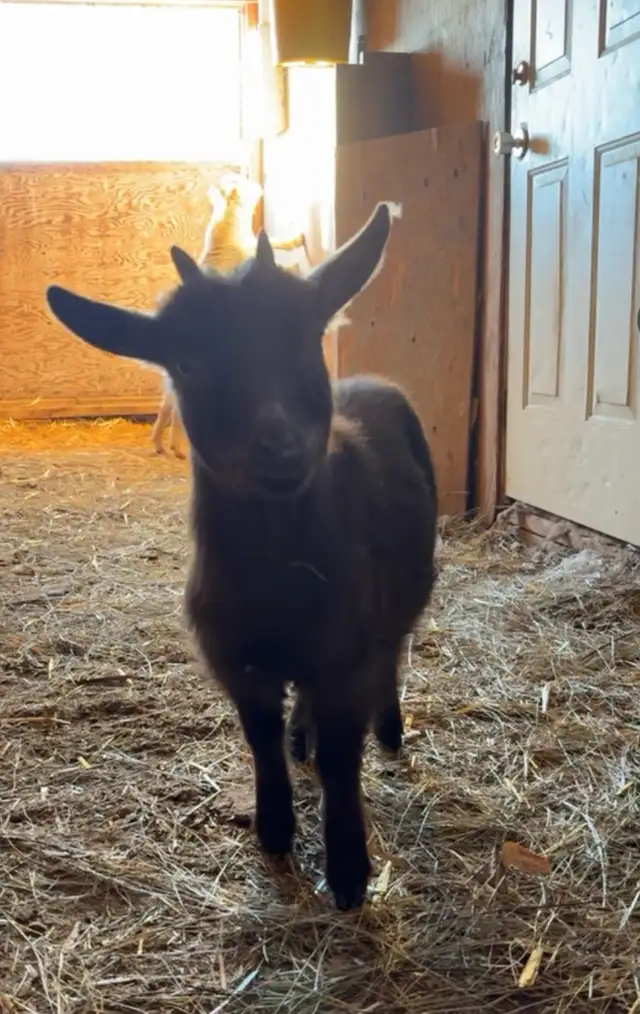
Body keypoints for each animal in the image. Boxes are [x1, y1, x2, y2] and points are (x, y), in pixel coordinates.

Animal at [152, 173, 308, 458]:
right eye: (240, 181)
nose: (256, 183)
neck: (228, 226)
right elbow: (269, 250)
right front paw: (293, 249)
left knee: (166, 407)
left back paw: (158, 443)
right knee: (180, 414)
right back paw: (177, 447)